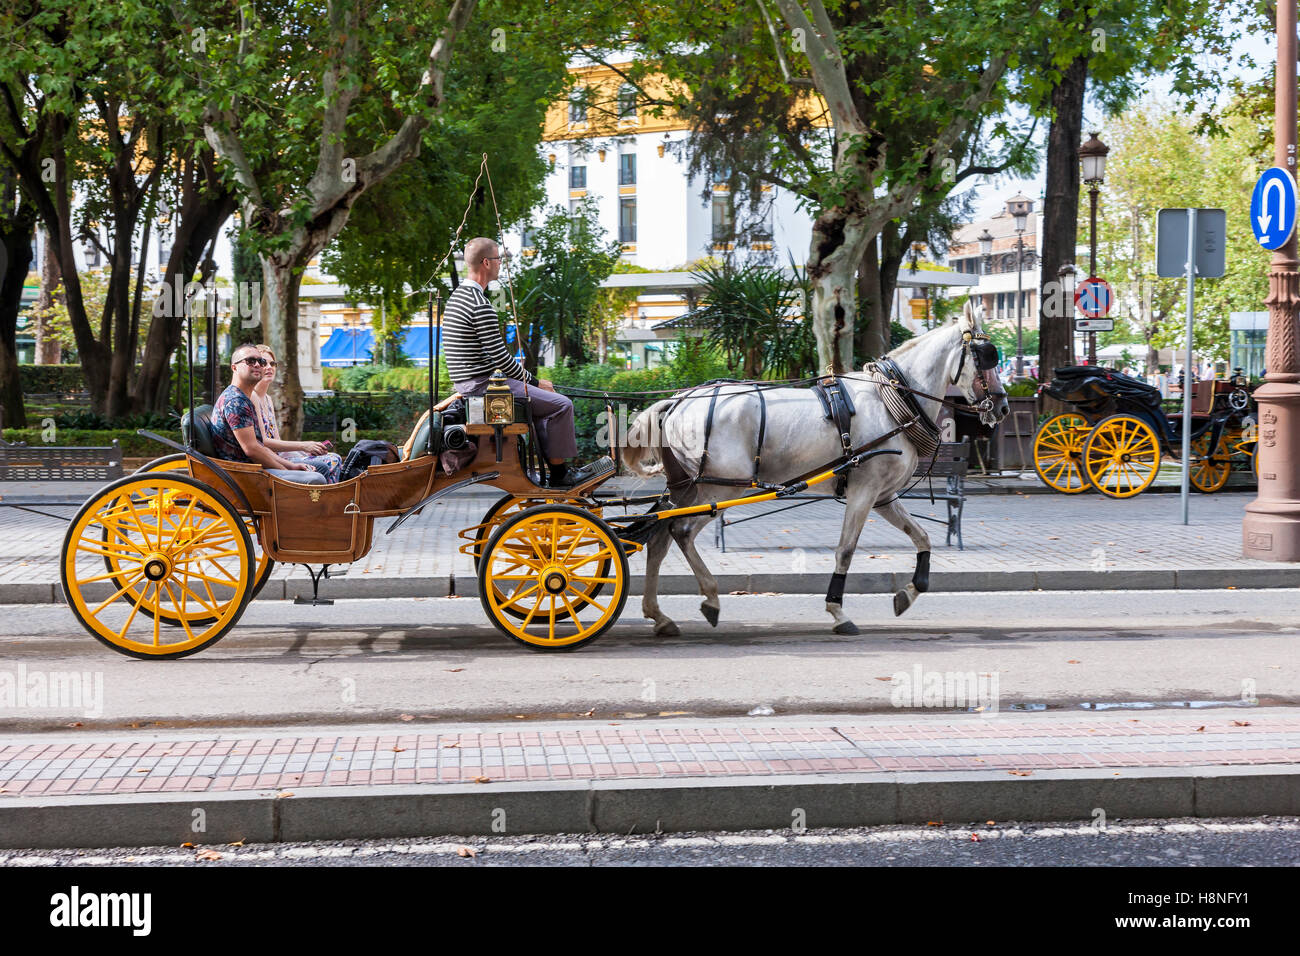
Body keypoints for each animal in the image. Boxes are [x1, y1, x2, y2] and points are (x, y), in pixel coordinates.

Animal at [618, 300, 1003, 634]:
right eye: (986, 357)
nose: (1001, 408)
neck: (890, 402)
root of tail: (678, 401)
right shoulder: (863, 491)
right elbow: (845, 549)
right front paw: (837, 610)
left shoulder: (884, 496)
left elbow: (922, 537)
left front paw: (909, 592)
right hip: (722, 487)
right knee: (680, 531)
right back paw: (710, 597)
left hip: (688, 488)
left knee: (659, 538)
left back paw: (659, 616)